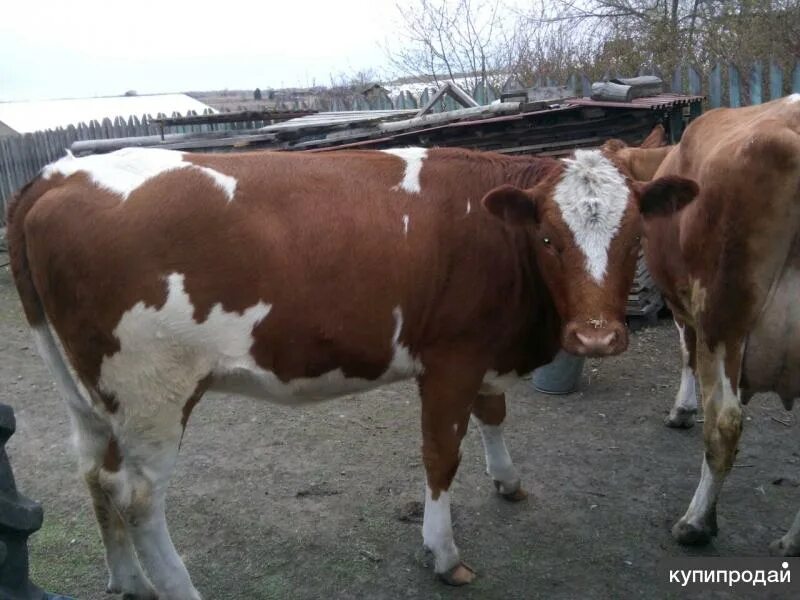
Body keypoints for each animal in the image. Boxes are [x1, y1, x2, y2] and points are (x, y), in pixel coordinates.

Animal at [4, 144, 680, 596]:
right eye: (548, 239)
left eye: (635, 237)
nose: (596, 336)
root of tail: (57, 173)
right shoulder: (451, 357)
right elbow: (441, 457)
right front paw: (443, 553)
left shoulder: (484, 349)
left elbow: (495, 411)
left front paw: (508, 481)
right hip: (152, 390)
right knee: (137, 495)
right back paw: (176, 587)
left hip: (93, 395)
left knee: (93, 470)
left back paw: (127, 580)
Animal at [620, 95, 800, 556]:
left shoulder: (685, 305)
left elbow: (685, 350)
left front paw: (682, 410)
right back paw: (791, 540)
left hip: (722, 312)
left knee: (724, 423)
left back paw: (696, 522)